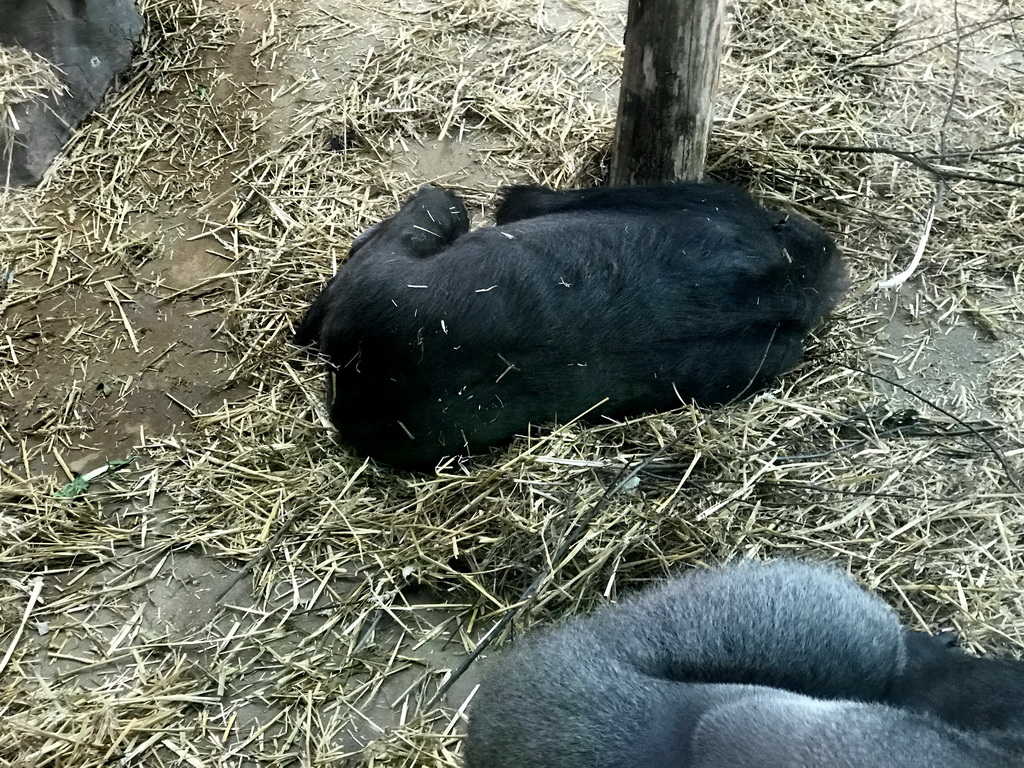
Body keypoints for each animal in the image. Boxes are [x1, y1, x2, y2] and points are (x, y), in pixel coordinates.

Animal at [292, 182, 843, 468]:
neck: (788, 281)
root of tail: (357, 397)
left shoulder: (712, 201)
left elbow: (530, 203)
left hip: (374, 296)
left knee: (433, 215)